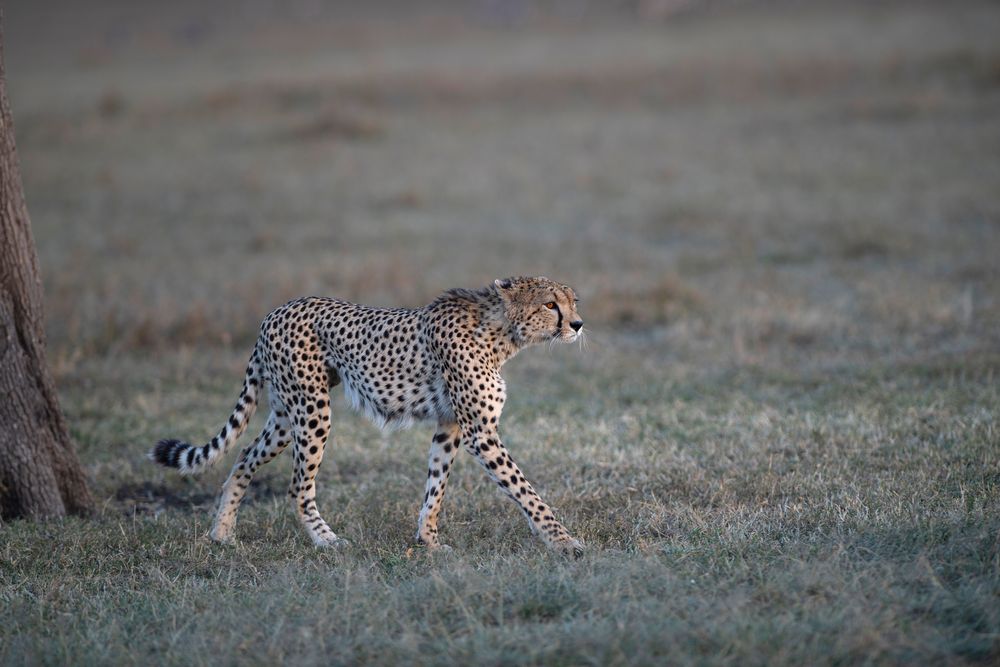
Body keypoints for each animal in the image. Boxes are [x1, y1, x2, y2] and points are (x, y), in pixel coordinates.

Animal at [149, 276, 584, 560]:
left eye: (572, 301)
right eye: (550, 304)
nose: (578, 324)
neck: (501, 332)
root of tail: (275, 311)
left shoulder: (450, 426)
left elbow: (436, 487)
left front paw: (428, 541)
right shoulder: (481, 433)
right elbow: (525, 491)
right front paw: (563, 541)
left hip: (286, 414)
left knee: (243, 458)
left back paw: (222, 533)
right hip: (312, 410)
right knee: (297, 486)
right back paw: (326, 541)